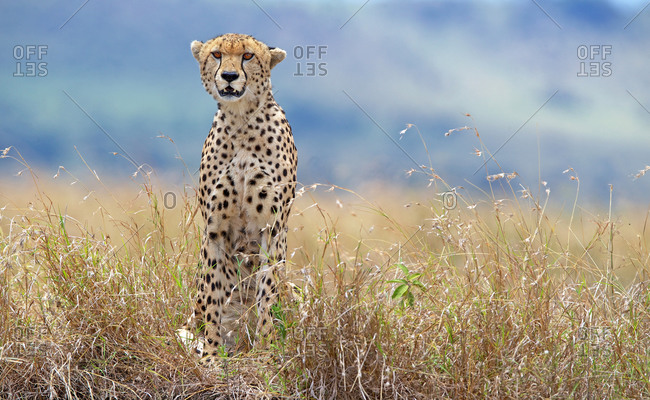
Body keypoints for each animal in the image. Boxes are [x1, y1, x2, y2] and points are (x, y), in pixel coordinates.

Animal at [187, 33, 297, 363]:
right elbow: (213, 294)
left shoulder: (272, 228)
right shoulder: (215, 229)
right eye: (217, 54)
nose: (229, 76)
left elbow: (268, 291)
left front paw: (266, 349)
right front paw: (211, 353)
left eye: (248, 56)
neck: (241, 120)